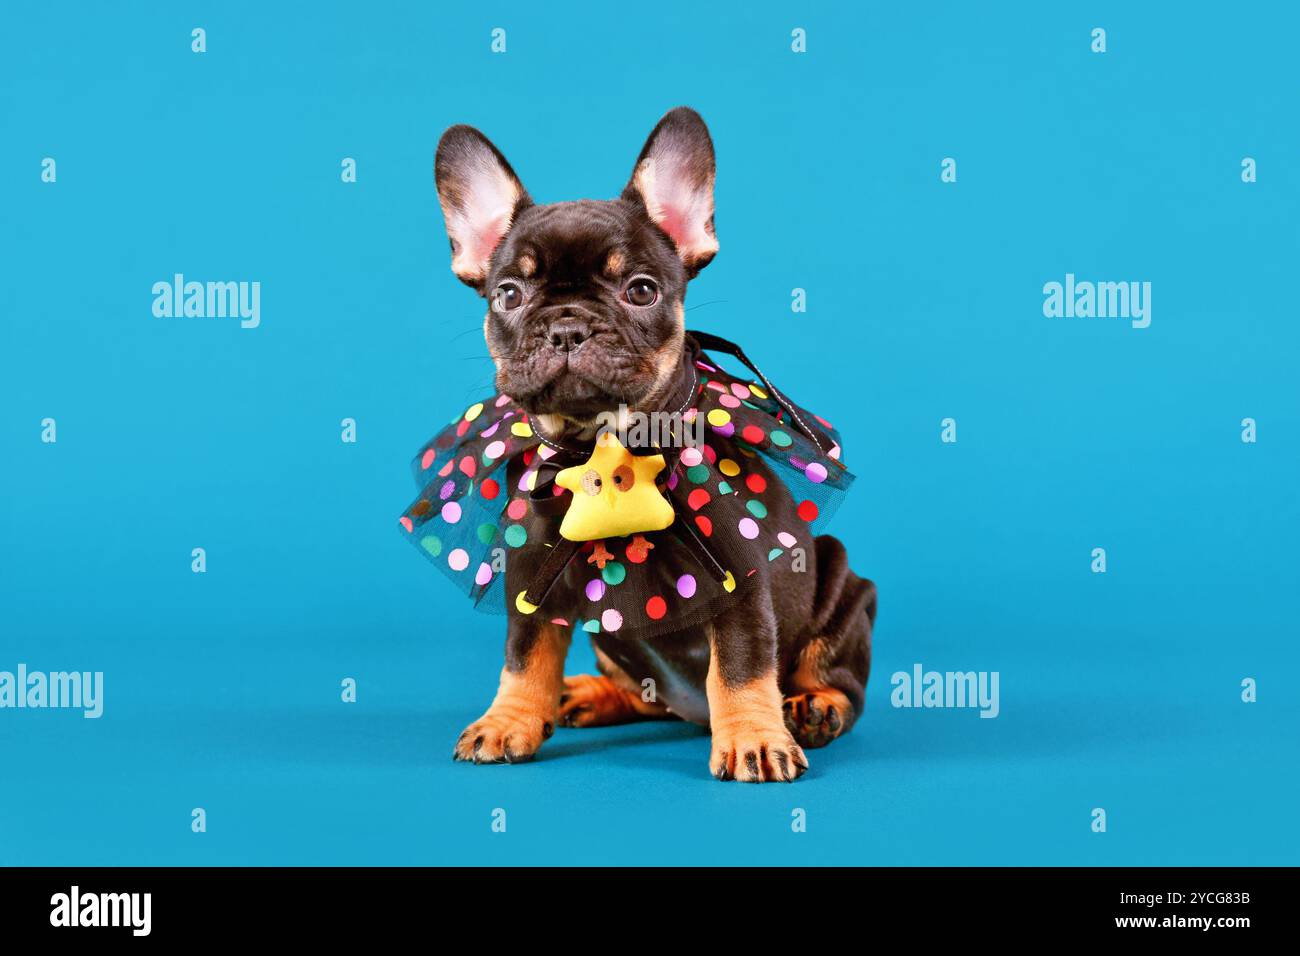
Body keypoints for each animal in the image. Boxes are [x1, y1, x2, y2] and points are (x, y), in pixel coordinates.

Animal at [434, 108, 873, 780]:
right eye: (508, 294)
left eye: (641, 290)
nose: (568, 326)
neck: (601, 443)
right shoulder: (530, 574)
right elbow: (524, 654)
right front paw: (507, 721)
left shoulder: (739, 578)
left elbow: (743, 665)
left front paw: (752, 740)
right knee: (643, 694)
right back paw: (589, 695)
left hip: (843, 587)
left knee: (838, 678)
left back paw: (812, 707)